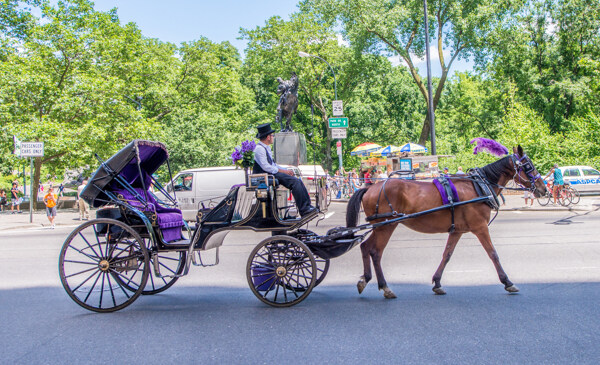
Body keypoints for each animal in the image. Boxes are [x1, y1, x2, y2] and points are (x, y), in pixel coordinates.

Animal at [344, 146, 548, 298]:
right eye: (528, 165)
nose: (543, 188)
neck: (478, 186)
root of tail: (371, 187)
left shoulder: (456, 231)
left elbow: (447, 255)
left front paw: (437, 282)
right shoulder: (480, 227)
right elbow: (493, 254)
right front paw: (507, 281)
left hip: (382, 226)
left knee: (366, 247)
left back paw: (367, 279)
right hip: (386, 225)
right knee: (375, 252)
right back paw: (384, 286)